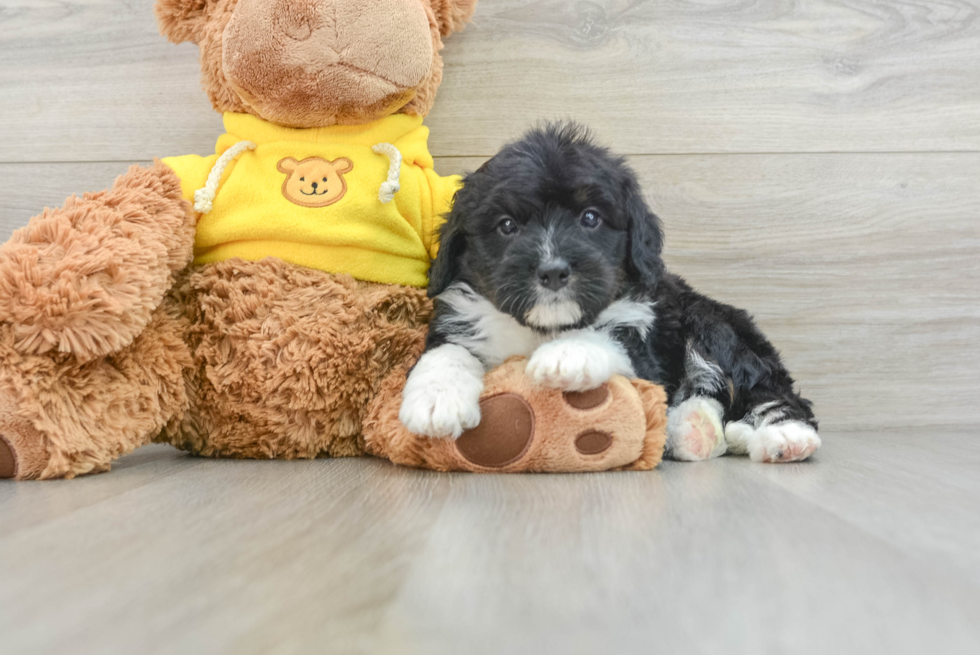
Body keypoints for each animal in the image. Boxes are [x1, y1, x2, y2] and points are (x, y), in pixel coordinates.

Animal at [398, 121, 820, 462]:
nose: (553, 271)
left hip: (713, 324)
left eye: (590, 218)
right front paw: (435, 399)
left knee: (768, 390)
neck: (541, 329)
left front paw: (566, 355)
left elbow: (608, 336)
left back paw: (787, 435)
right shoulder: (459, 319)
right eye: (506, 226)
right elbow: (447, 351)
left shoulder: (643, 344)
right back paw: (692, 429)